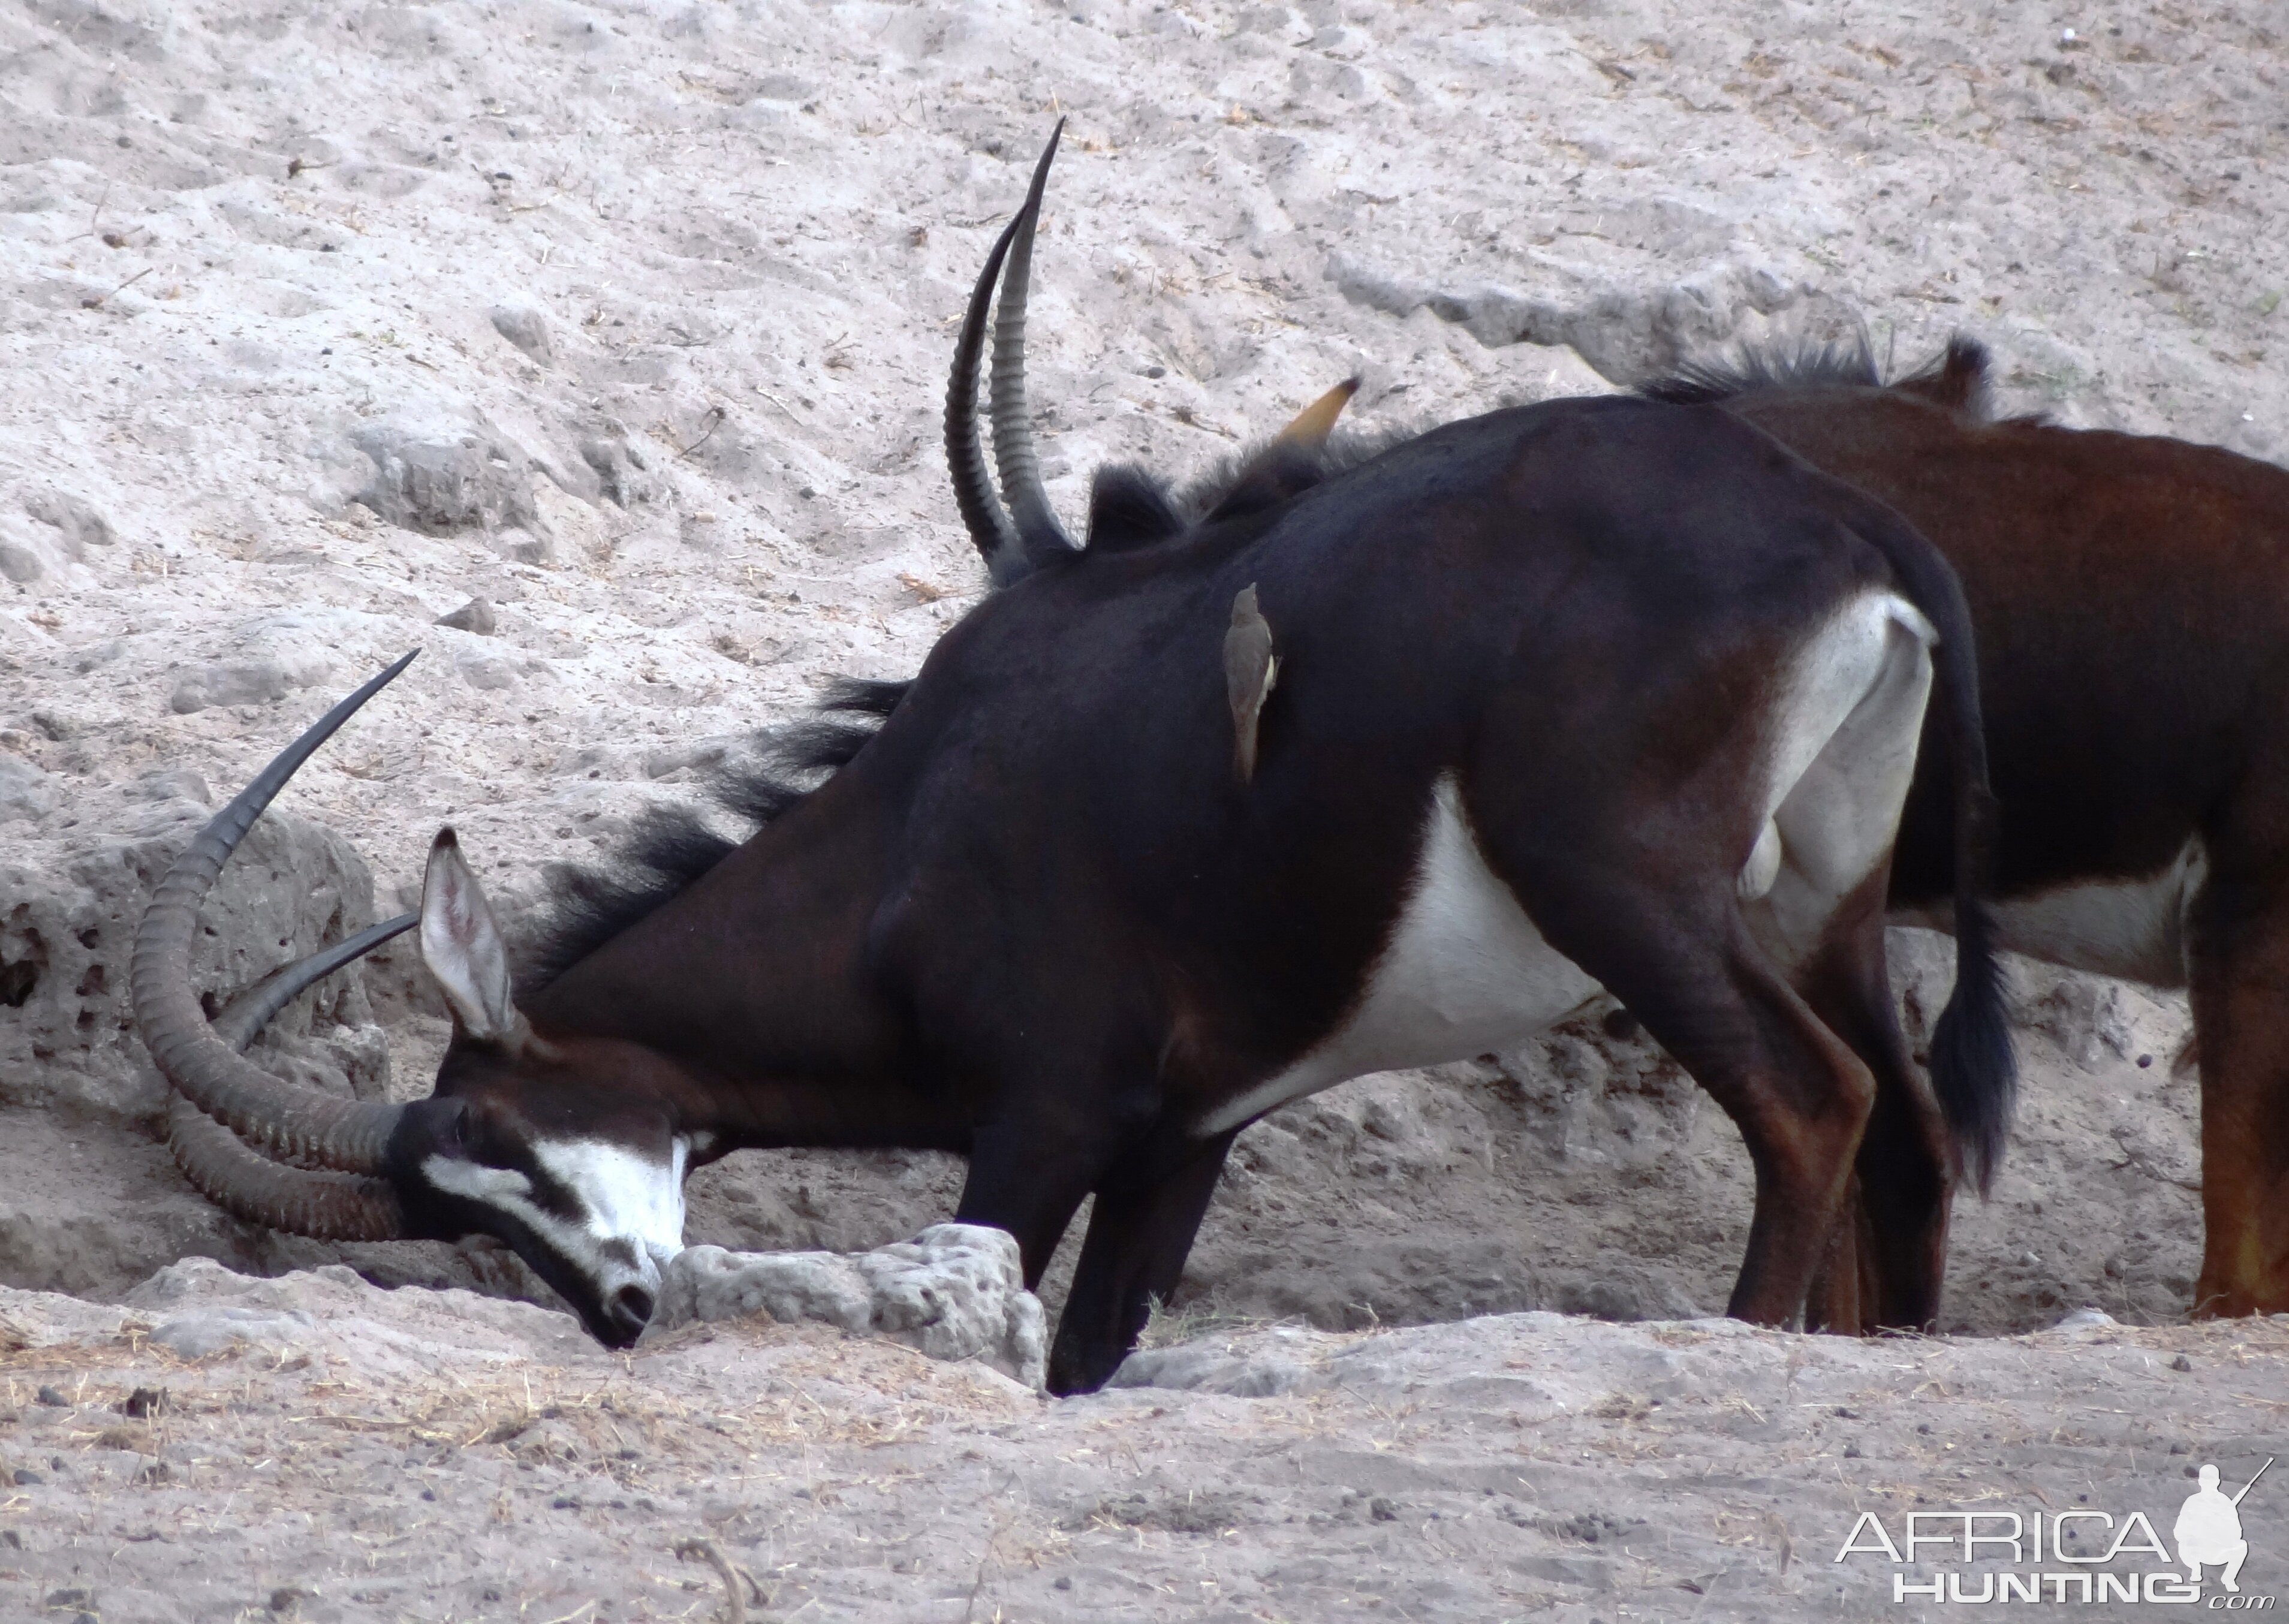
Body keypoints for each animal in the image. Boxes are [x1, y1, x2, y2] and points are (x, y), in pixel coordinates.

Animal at [134, 130, 2014, 1400]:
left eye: (503, 1136)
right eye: (457, 1207)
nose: (623, 1313)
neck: (906, 842)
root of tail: (1843, 527)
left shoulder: (1041, 1121)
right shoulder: (1182, 1135)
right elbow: (1091, 1353)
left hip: (1621, 888)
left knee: (1811, 1102)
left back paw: (1746, 1338)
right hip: (1821, 902)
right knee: (1909, 1130)